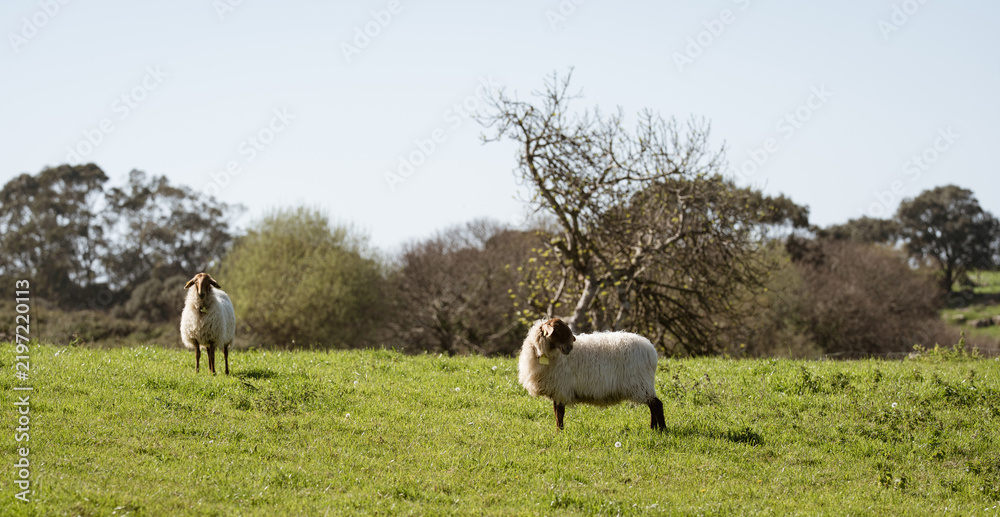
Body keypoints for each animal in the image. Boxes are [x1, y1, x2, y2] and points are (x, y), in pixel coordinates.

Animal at [518, 318, 666, 431]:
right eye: (556, 332)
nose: (569, 348)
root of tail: (650, 350)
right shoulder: (557, 390)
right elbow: (557, 413)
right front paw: (559, 431)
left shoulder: (560, 388)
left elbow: (559, 414)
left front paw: (559, 432)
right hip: (642, 384)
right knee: (653, 405)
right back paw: (654, 428)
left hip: (640, 383)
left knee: (656, 404)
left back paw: (661, 429)